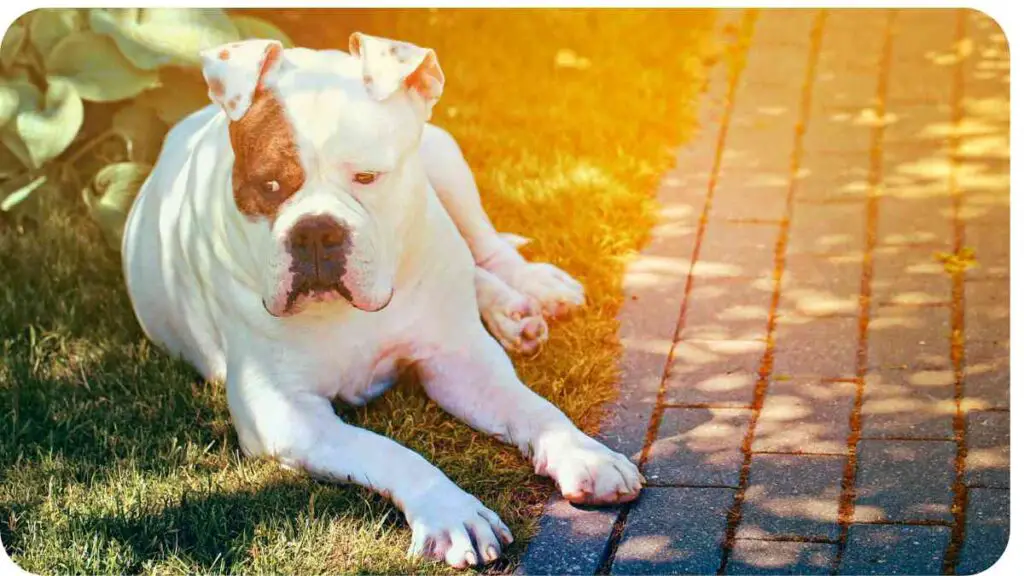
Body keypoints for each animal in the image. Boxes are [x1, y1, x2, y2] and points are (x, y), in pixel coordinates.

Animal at [119, 32, 638, 565]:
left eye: (367, 177)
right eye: (269, 185)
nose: (315, 231)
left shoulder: (460, 361)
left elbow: (533, 407)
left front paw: (584, 453)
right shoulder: (282, 411)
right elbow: (391, 451)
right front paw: (450, 511)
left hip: (444, 158)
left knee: (484, 244)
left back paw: (529, 294)